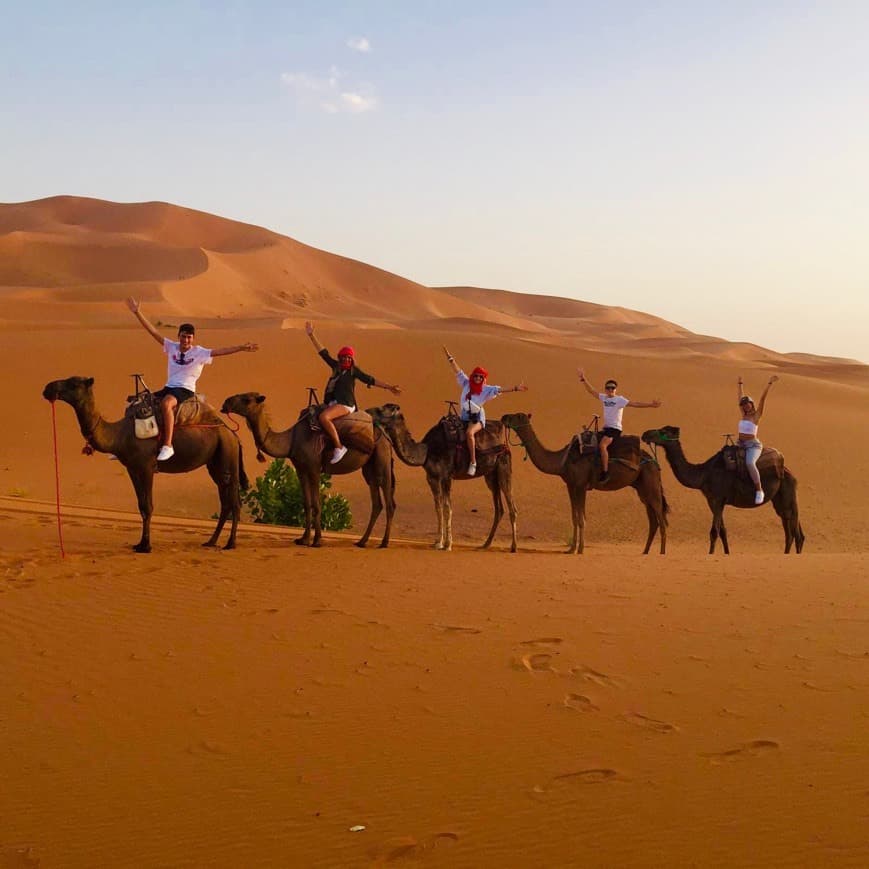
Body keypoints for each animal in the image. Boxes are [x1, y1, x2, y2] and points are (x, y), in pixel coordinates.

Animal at [43, 376, 248, 552]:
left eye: (73, 384)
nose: (48, 389)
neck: (119, 435)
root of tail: (234, 435)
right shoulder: (132, 468)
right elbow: (141, 506)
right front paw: (140, 543)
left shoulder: (147, 467)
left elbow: (148, 506)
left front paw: (147, 546)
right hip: (215, 465)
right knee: (225, 502)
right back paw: (211, 541)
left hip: (228, 459)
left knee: (234, 502)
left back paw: (230, 543)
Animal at [219, 394, 396, 548]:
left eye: (247, 399)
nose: (226, 403)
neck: (291, 440)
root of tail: (385, 436)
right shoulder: (301, 470)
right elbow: (307, 503)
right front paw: (303, 539)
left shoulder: (314, 468)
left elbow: (317, 504)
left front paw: (317, 541)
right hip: (369, 469)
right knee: (377, 502)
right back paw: (362, 542)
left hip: (382, 459)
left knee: (389, 501)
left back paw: (384, 543)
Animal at [366, 406, 516, 552]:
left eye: (380, 410)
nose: (368, 412)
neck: (427, 451)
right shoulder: (432, 477)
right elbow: (438, 507)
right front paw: (438, 542)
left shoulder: (446, 476)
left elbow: (447, 507)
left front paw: (448, 544)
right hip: (490, 475)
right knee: (499, 509)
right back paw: (486, 544)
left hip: (504, 466)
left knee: (511, 506)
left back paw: (513, 547)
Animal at [498, 412, 668, 548]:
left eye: (516, 416)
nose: (504, 417)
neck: (561, 460)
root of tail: (653, 460)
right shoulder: (570, 485)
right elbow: (574, 517)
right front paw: (571, 548)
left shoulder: (581, 485)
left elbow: (581, 518)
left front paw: (580, 549)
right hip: (641, 488)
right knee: (653, 520)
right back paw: (645, 552)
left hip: (651, 482)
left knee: (661, 518)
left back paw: (661, 553)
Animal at [640, 424, 804, 552]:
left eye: (663, 431)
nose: (645, 434)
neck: (703, 474)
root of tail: (787, 471)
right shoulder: (712, 500)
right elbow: (723, 531)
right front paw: (726, 553)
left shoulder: (717, 499)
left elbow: (714, 532)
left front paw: (711, 554)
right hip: (779, 498)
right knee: (793, 529)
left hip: (787, 493)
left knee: (792, 531)